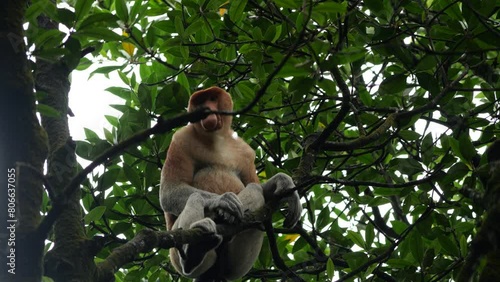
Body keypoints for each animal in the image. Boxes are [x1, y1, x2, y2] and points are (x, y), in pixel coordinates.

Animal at [160, 87, 300, 280]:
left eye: (212, 99)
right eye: (200, 102)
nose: (206, 110)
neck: (216, 138)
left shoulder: (245, 151)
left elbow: (255, 184)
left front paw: (285, 184)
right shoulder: (181, 139)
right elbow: (169, 191)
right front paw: (223, 201)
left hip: (236, 264)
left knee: (254, 189)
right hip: (175, 251)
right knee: (195, 197)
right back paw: (195, 251)